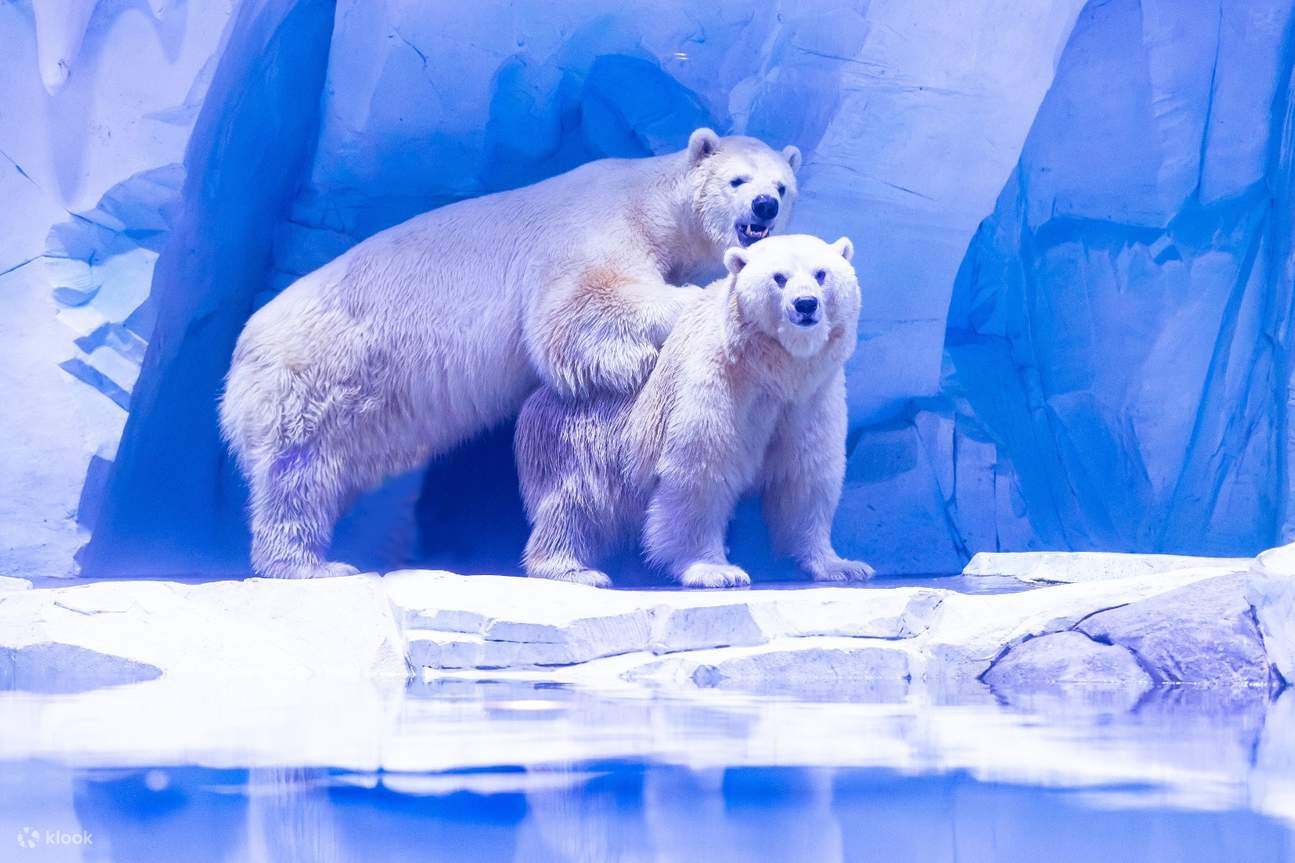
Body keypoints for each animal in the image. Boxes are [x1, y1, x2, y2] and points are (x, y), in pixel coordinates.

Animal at [220, 128, 801, 579]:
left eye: (782, 185)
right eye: (738, 180)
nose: (765, 206)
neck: (649, 202)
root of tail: (242, 352)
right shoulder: (592, 232)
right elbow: (580, 306)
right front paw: (697, 306)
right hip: (316, 374)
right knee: (298, 472)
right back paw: (311, 563)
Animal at [514, 233, 875, 589]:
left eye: (821, 273)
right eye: (779, 277)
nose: (805, 304)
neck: (770, 370)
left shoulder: (811, 397)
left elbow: (805, 474)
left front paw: (842, 565)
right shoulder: (716, 381)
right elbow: (701, 470)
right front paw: (716, 571)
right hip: (581, 442)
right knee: (578, 504)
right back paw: (575, 570)